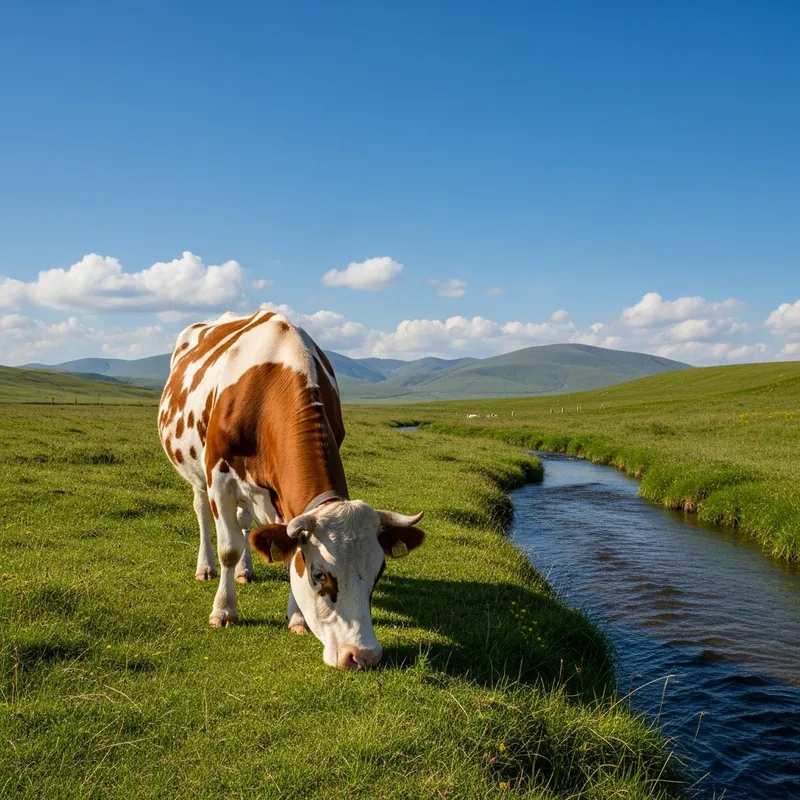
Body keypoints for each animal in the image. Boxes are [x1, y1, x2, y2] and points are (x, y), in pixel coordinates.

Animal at [157, 309, 425, 669]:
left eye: (378, 572)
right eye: (319, 574)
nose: (363, 656)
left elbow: (281, 548)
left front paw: (296, 618)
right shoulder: (219, 475)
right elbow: (229, 547)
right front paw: (224, 611)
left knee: (245, 524)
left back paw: (246, 571)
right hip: (197, 473)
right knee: (203, 514)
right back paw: (206, 568)